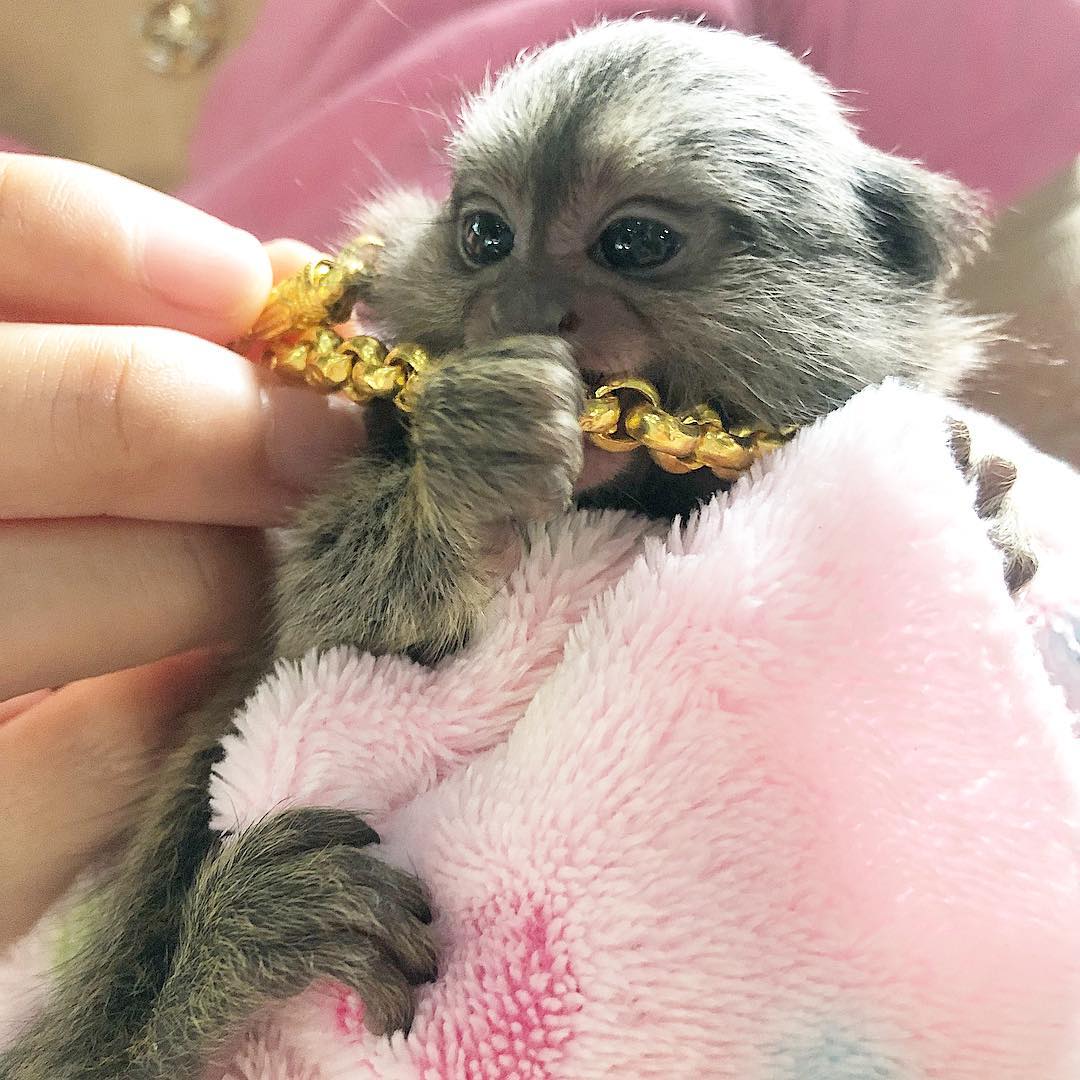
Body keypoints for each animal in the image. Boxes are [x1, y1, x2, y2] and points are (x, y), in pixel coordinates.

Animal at [0, 19, 1032, 1080]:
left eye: (636, 243)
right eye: (486, 238)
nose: (525, 305)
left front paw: (984, 518)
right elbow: (334, 640)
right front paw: (467, 469)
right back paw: (234, 952)